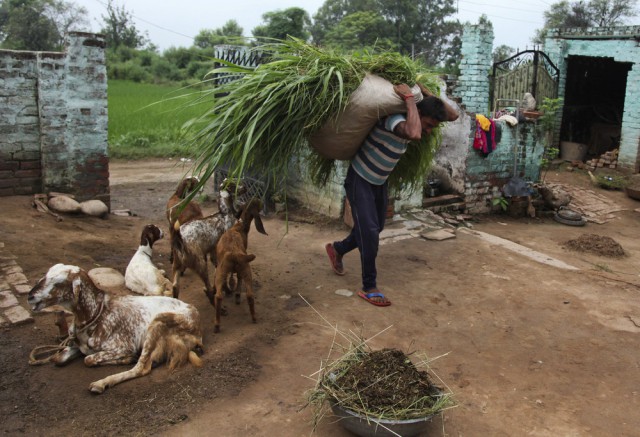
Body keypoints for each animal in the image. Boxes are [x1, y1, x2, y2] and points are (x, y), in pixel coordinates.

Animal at [26, 264, 202, 394]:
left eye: (59, 283)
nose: (30, 296)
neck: (97, 314)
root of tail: (197, 327)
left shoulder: (123, 346)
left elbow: (88, 359)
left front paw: (126, 358)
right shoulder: (78, 344)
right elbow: (58, 358)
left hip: (157, 323)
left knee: (141, 368)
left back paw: (100, 383)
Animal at [171, 176, 246, 304]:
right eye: (233, 184)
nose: (245, 187)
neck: (225, 214)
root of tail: (179, 240)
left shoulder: (213, 252)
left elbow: (218, 272)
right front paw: (228, 290)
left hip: (177, 264)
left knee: (175, 286)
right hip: (201, 264)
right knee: (207, 288)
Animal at [214, 196, 266, 332]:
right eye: (257, 203)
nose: (260, 199)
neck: (239, 226)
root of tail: (234, 254)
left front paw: (236, 294)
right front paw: (237, 294)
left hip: (222, 272)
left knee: (219, 296)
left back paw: (217, 324)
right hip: (245, 269)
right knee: (249, 294)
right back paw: (253, 317)